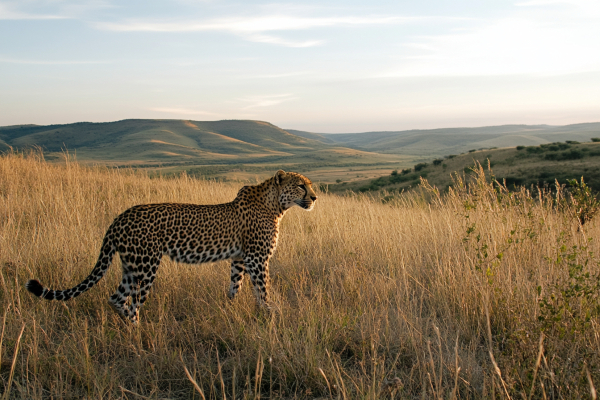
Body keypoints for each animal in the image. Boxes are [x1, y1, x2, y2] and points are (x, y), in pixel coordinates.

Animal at [25, 169, 316, 322]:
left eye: (310, 186)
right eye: (301, 186)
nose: (315, 197)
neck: (276, 205)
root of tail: (120, 216)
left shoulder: (239, 259)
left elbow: (236, 286)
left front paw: (231, 308)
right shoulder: (257, 259)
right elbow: (262, 289)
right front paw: (270, 313)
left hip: (130, 267)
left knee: (116, 298)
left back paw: (127, 325)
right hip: (146, 266)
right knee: (134, 303)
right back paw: (138, 335)